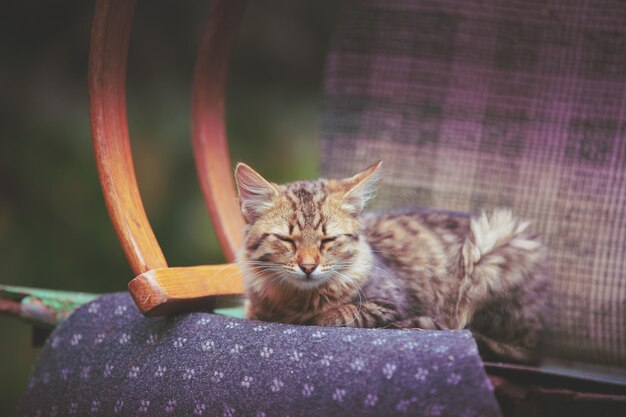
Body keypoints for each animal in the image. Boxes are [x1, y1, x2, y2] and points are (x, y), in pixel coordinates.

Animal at [233, 161, 544, 362]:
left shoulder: (391, 303)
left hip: (493, 250)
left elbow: (342, 314)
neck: (297, 299)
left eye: (327, 240)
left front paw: (318, 317)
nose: (308, 267)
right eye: (287, 240)